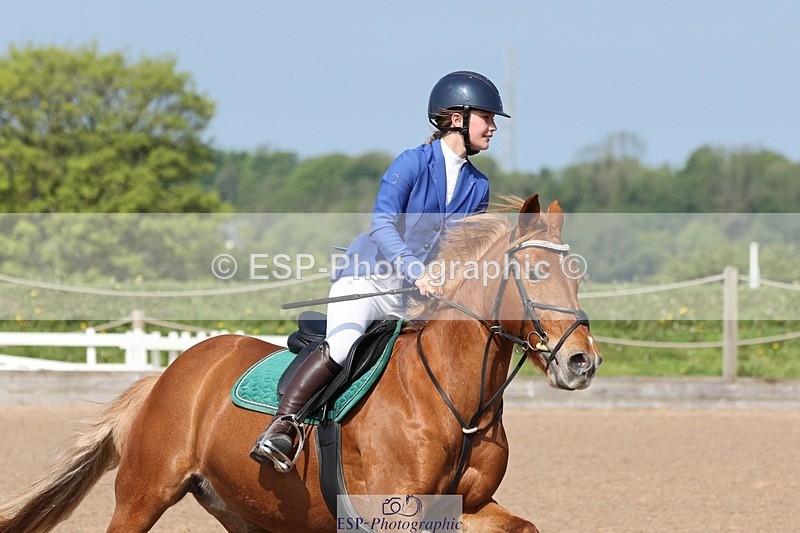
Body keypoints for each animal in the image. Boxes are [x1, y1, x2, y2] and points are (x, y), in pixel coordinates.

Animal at [0, 194, 602, 533]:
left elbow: (524, 527)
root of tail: (168, 375)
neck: (456, 401)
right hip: (143, 496)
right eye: (538, 274)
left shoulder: (470, 507)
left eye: (579, 274)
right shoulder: (392, 513)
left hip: (248, 510)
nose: (582, 362)